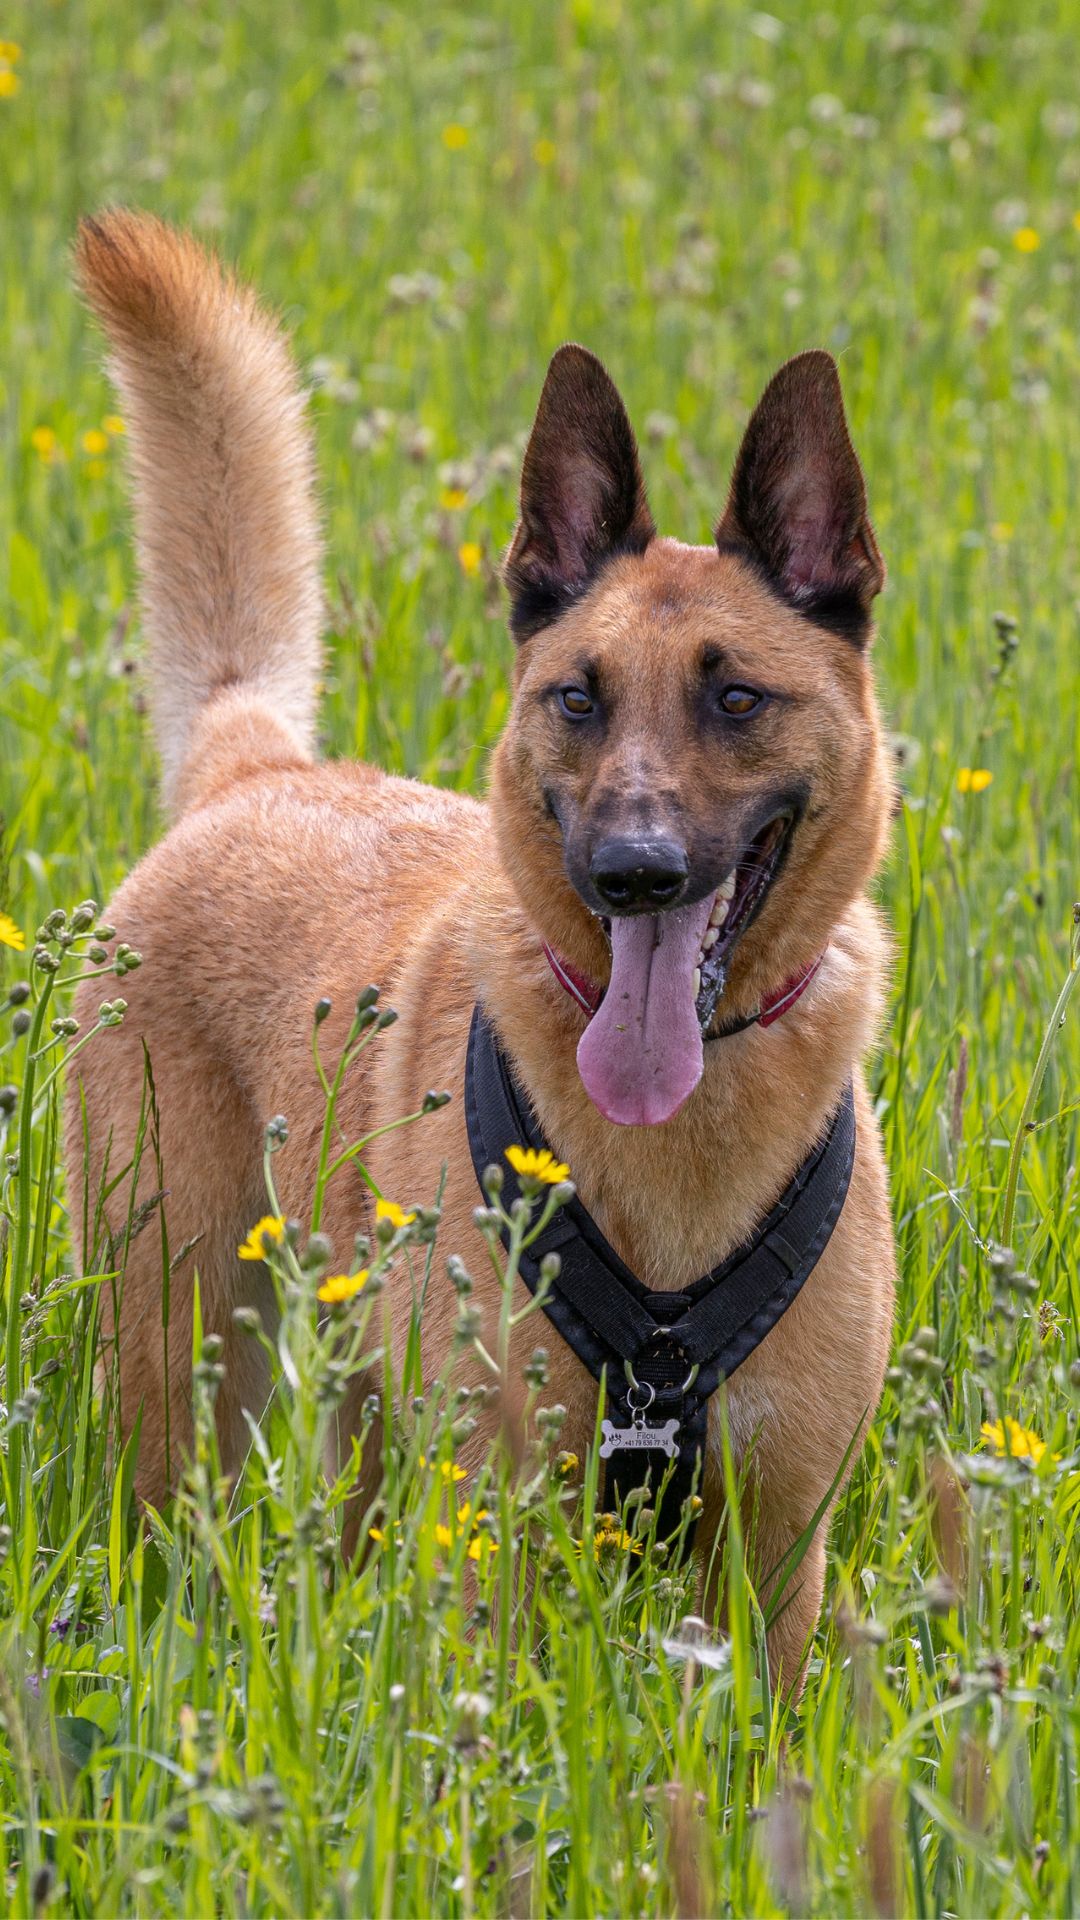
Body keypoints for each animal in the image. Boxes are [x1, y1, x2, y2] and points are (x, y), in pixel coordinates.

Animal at [67, 210, 896, 1685]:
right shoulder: (493, 1533)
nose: (633, 872)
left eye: (738, 698)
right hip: (187, 1362)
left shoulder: (775, 1556)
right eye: (577, 698)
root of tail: (254, 768)